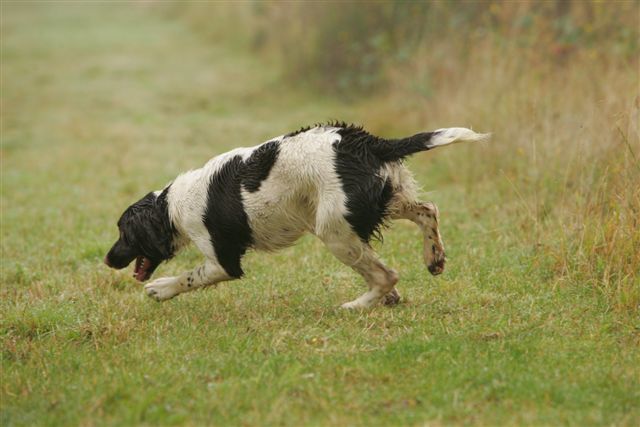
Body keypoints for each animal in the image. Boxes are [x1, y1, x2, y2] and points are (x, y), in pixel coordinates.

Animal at [104, 123, 490, 308]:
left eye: (124, 233)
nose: (108, 259)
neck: (171, 207)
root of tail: (368, 142)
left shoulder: (223, 261)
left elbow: (189, 277)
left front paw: (160, 290)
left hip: (335, 230)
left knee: (387, 274)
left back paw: (357, 306)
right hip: (376, 206)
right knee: (428, 211)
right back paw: (433, 259)